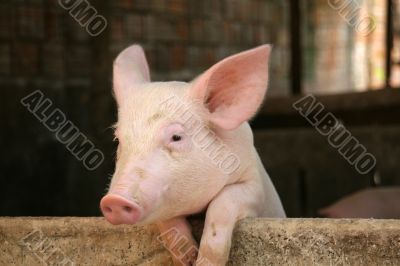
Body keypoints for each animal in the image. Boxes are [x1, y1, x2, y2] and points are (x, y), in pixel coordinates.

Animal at [101, 43, 286, 264]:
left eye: (176, 137)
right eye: (118, 140)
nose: (114, 200)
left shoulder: (255, 187)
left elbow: (223, 203)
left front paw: (204, 263)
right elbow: (167, 222)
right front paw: (187, 259)